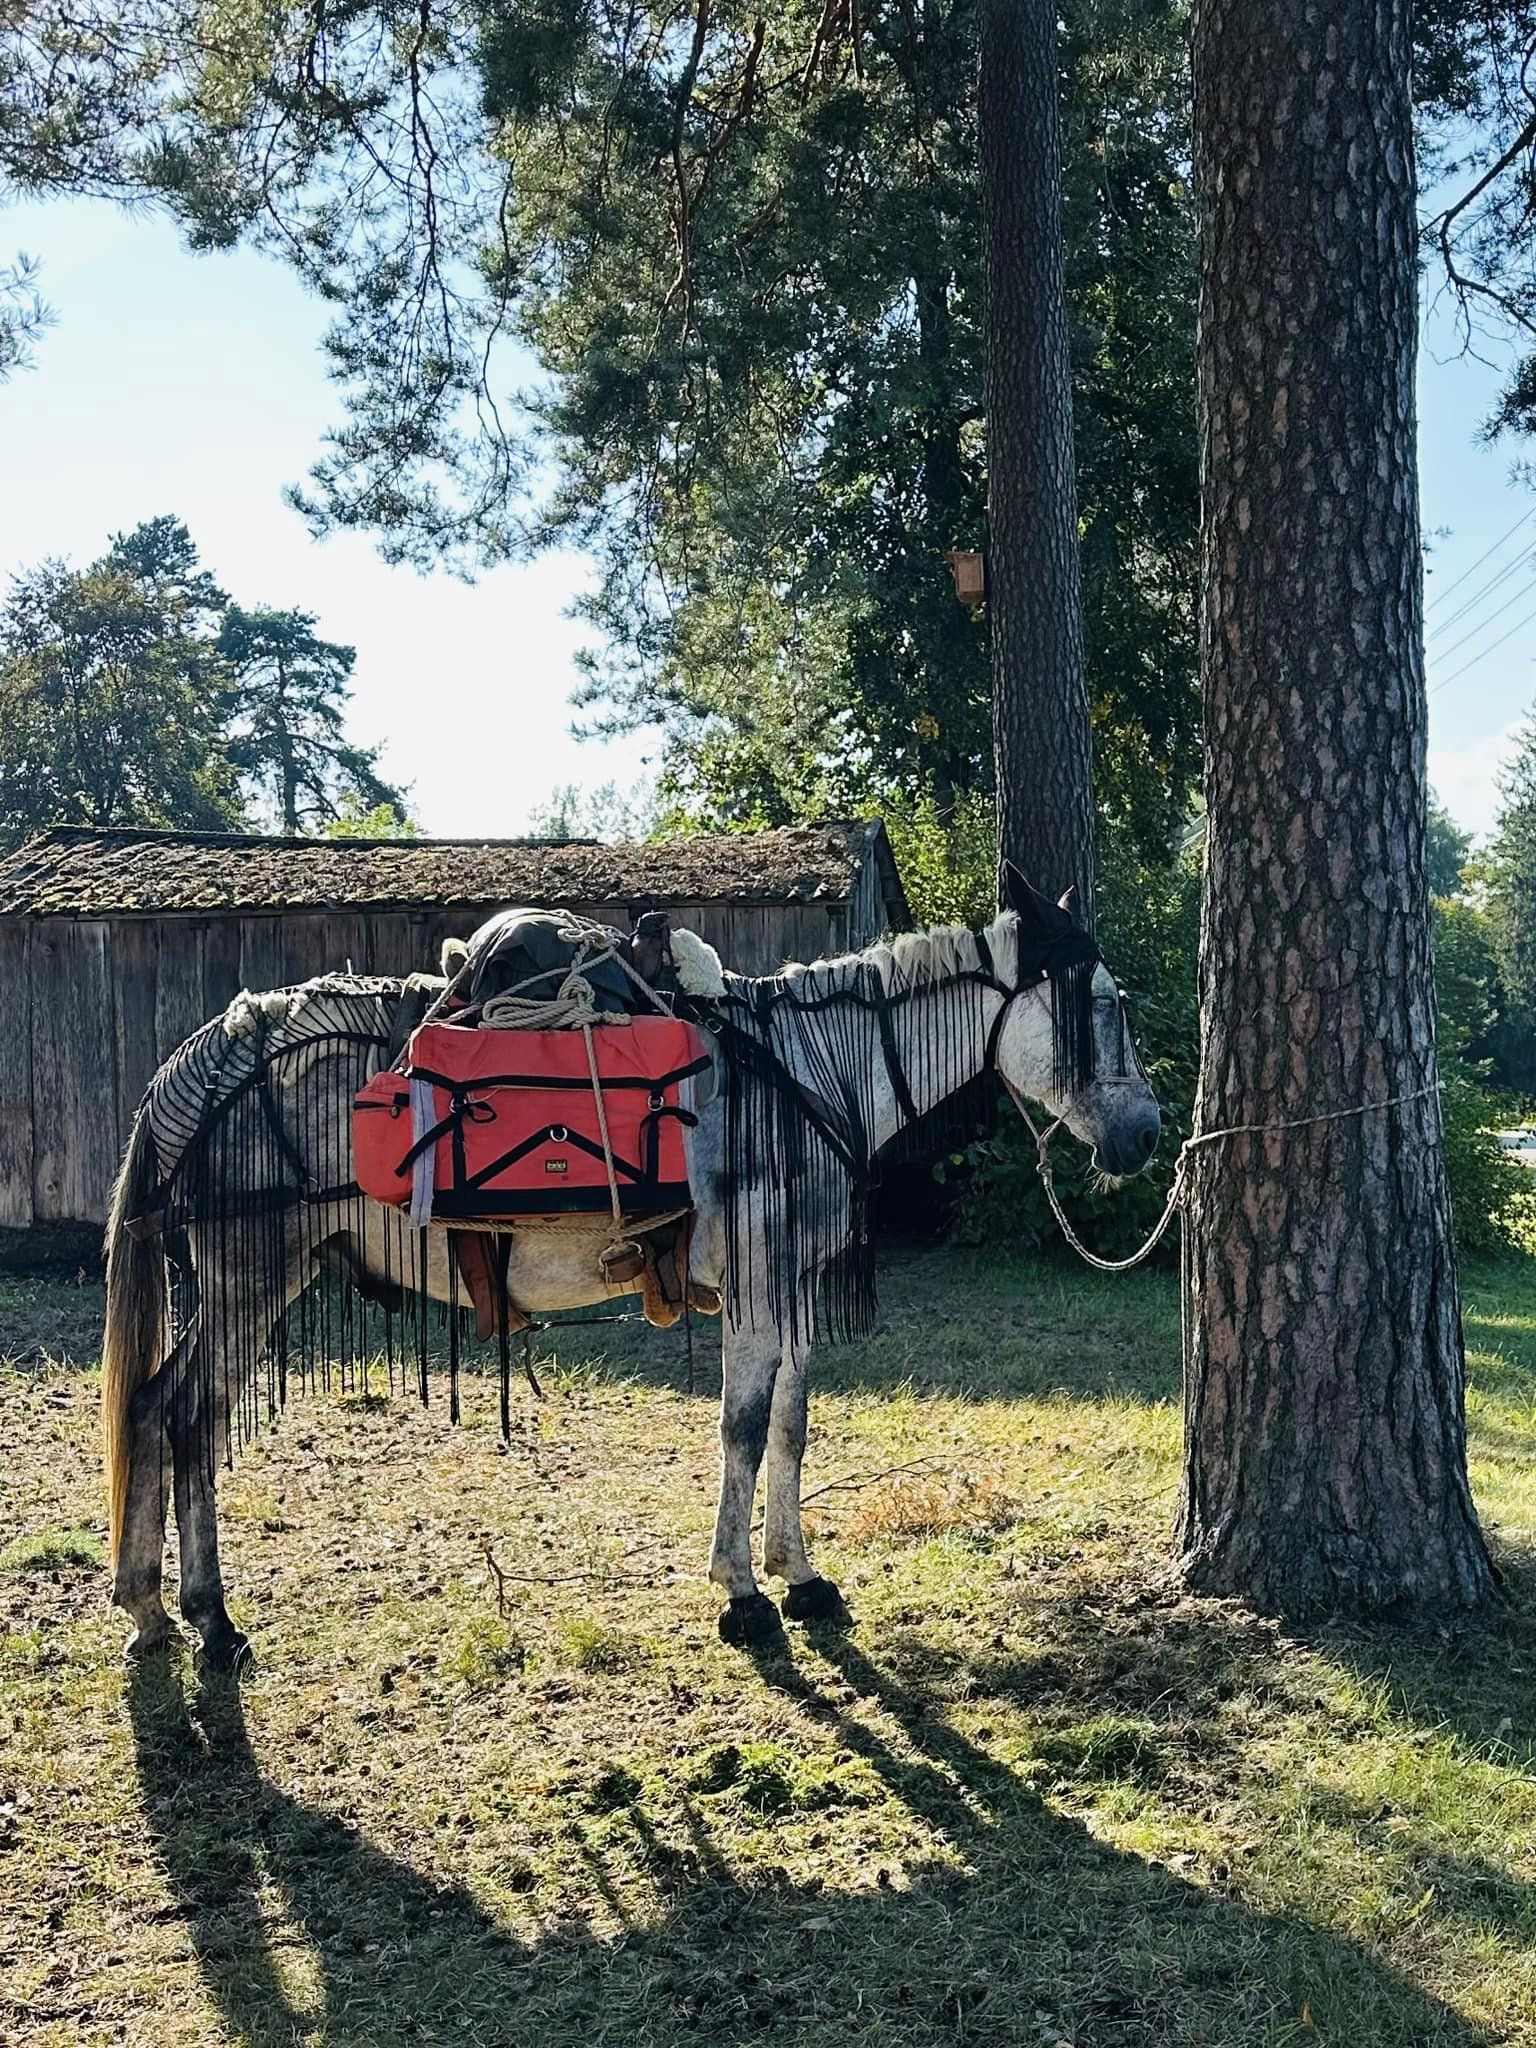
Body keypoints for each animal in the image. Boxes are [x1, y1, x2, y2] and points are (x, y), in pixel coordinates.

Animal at [102, 864, 1163, 1662]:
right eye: (1103, 1005)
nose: (1147, 1136)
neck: (806, 1072)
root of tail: (195, 1064)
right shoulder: (756, 1291)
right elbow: (741, 1428)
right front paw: (741, 1594)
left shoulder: (789, 1291)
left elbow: (791, 1426)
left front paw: (799, 1574)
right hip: (246, 1279)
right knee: (188, 1418)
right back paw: (210, 1616)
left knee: (154, 1409)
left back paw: (151, 1608)